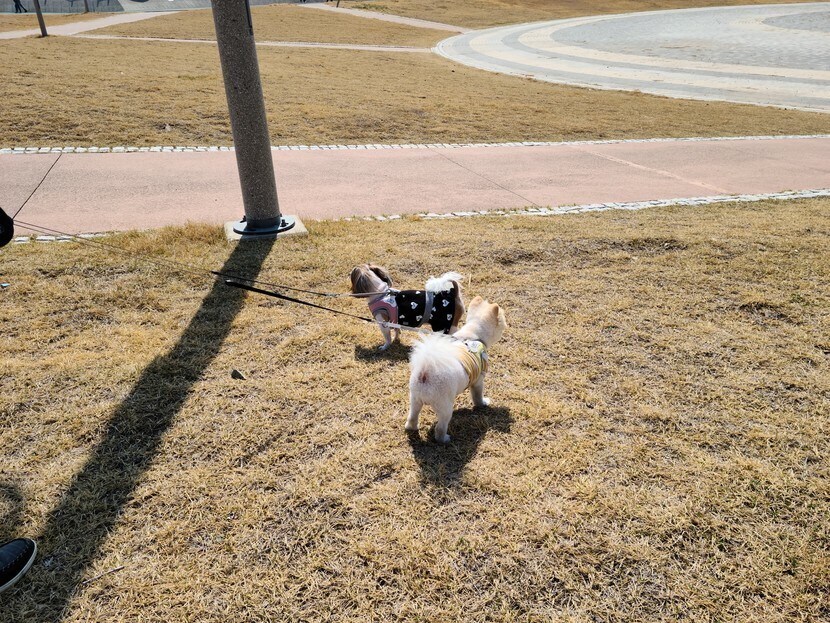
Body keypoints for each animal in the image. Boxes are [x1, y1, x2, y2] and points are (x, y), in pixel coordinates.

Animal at [407, 296, 507, 443]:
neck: (473, 335)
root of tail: (425, 373)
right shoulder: (478, 381)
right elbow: (478, 396)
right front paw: (483, 403)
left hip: (415, 400)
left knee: (412, 418)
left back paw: (412, 428)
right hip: (445, 408)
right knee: (440, 429)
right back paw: (445, 439)